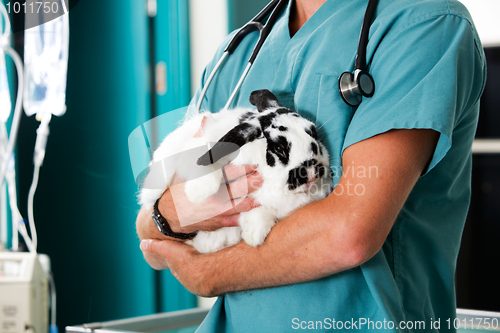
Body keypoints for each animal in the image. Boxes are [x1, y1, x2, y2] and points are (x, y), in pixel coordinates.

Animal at [139, 89, 332, 253]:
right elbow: (205, 165)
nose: (311, 173)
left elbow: (259, 212)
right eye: (279, 148)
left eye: (314, 133)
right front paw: (198, 194)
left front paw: (254, 234)